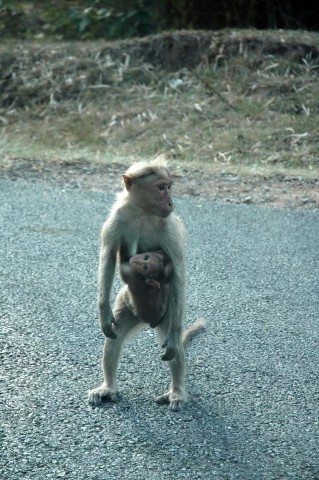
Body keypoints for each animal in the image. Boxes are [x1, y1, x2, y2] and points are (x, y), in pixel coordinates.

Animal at [87, 156, 205, 410]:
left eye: (169, 186)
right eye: (161, 187)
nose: (170, 201)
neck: (142, 213)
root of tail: (147, 320)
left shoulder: (169, 228)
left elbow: (177, 274)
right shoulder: (117, 219)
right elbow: (108, 257)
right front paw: (103, 311)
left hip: (168, 313)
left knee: (174, 344)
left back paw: (176, 390)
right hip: (126, 305)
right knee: (114, 338)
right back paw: (108, 387)